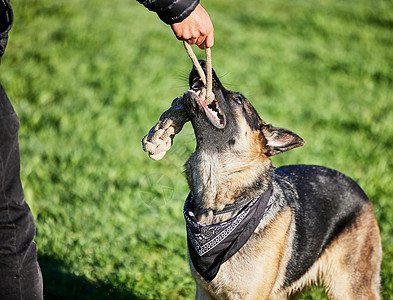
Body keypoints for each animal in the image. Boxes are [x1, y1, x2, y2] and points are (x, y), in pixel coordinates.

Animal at [181, 62, 380, 298]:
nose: (201, 62)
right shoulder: (204, 292)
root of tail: (358, 187)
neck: (219, 210)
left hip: (347, 288)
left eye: (238, 99)